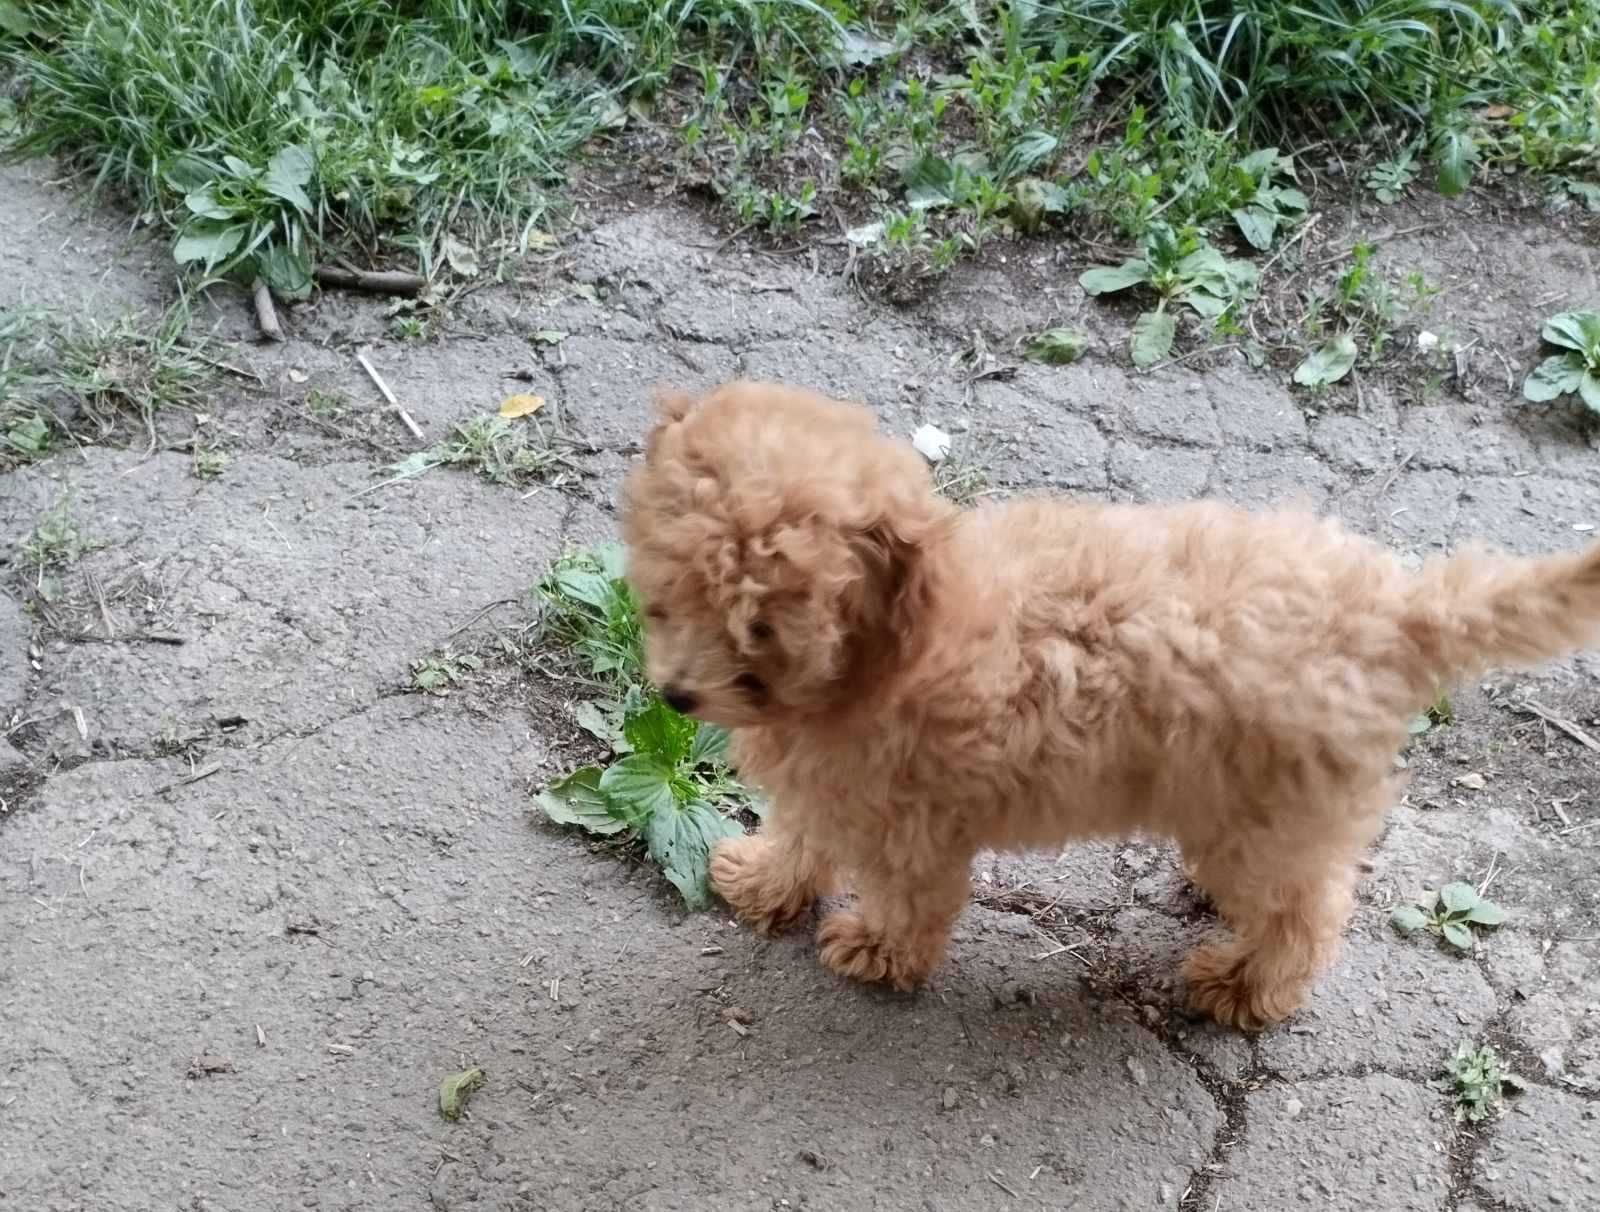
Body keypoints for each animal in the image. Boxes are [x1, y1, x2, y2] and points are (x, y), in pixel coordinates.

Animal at [617, 383, 1600, 1029]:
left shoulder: (914, 823)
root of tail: (1392, 612)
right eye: (669, 597)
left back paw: (1244, 987)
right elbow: (802, 835)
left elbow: (911, 900)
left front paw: (878, 954)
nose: (676, 692)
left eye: (758, 626)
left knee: (1306, 916)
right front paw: (767, 882)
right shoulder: (837, 784)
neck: (896, 644)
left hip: (1268, 815)